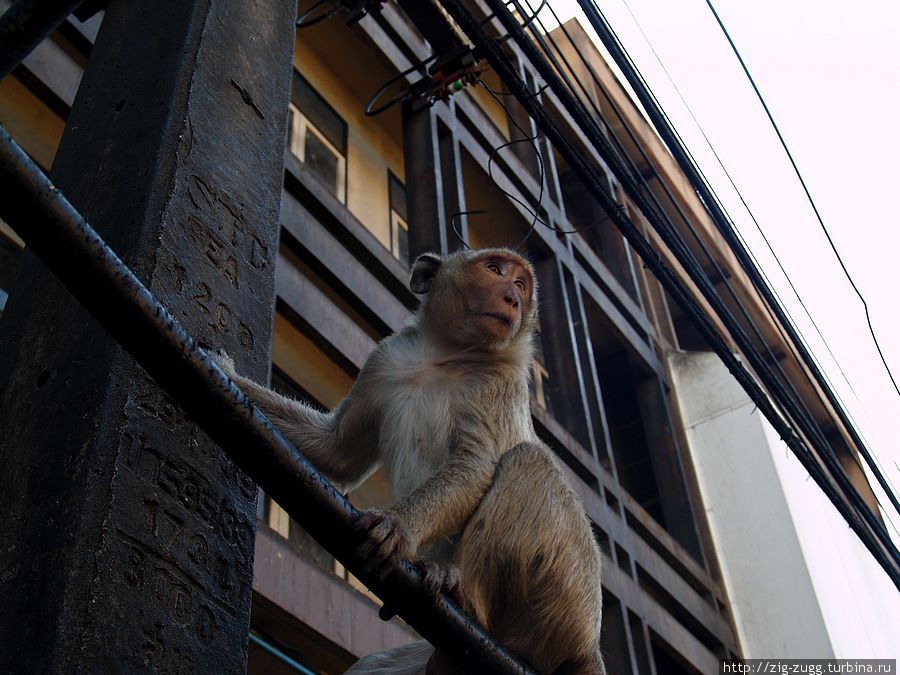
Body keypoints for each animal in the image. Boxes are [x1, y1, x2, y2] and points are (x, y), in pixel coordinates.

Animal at [214, 250, 600, 675]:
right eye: (495, 271)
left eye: (520, 284)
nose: (513, 299)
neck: (444, 357)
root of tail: (588, 645)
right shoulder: (385, 360)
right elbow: (338, 451)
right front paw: (227, 372)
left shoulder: (498, 382)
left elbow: (476, 463)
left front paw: (399, 525)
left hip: (563, 604)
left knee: (529, 461)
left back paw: (465, 597)